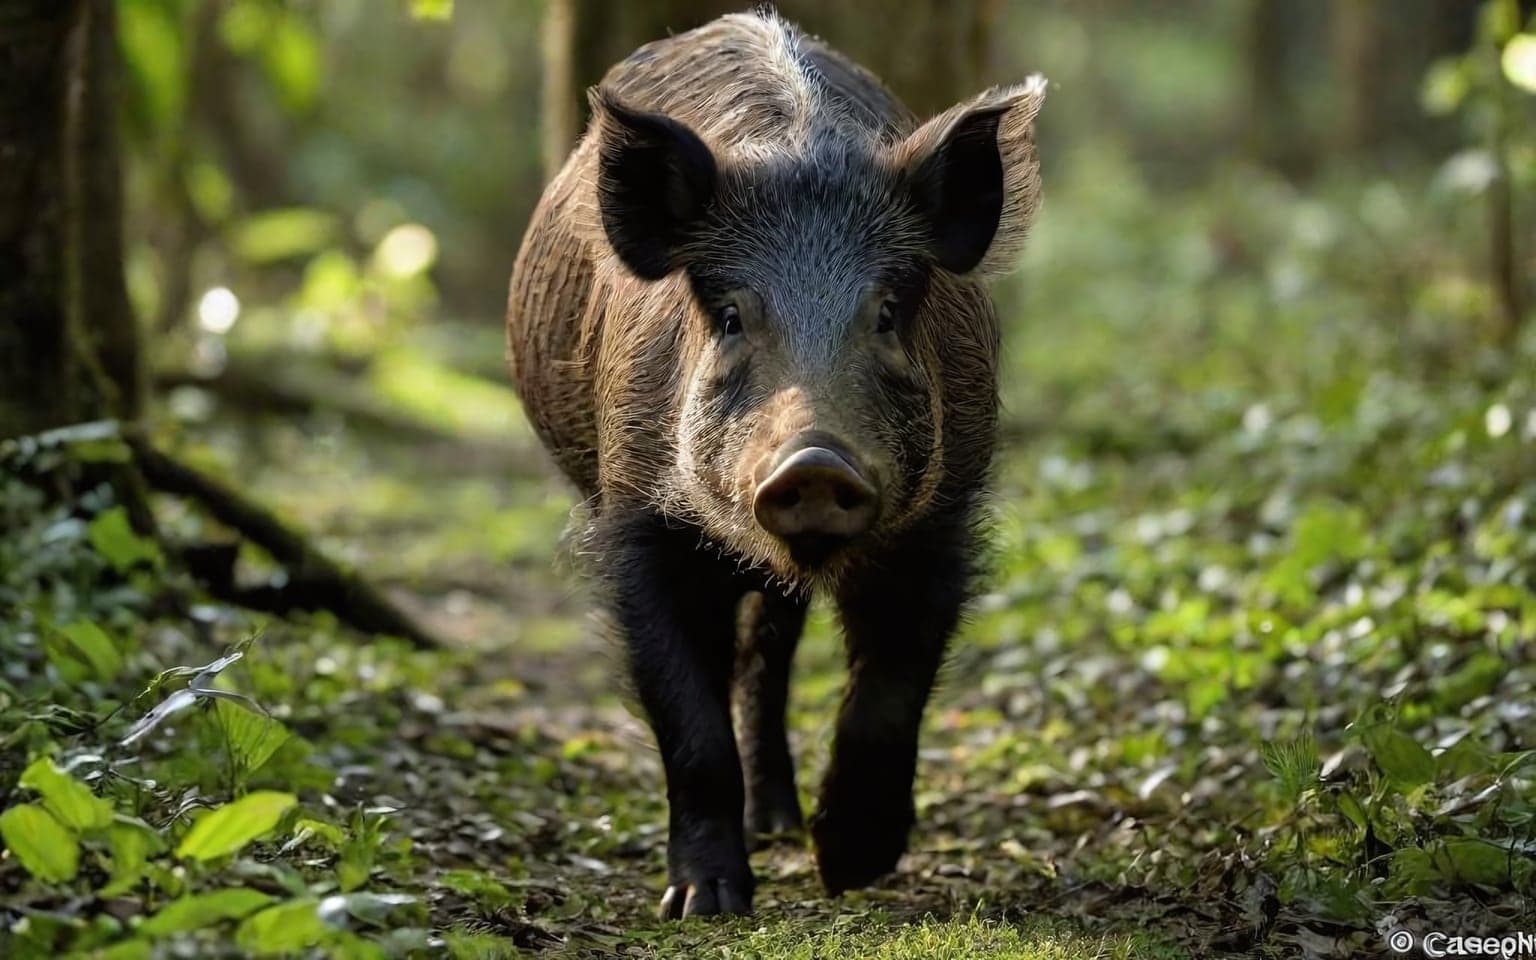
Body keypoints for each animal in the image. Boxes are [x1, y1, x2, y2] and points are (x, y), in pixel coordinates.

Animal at [506, 10, 1044, 919]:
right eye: (729, 316)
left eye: (887, 313)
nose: (814, 463)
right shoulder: (636, 521)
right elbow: (687, 719)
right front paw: (703, 903)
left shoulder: (943, 524)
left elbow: (889, 694)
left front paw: (850, 868)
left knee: (769, 653)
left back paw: (784, 828)